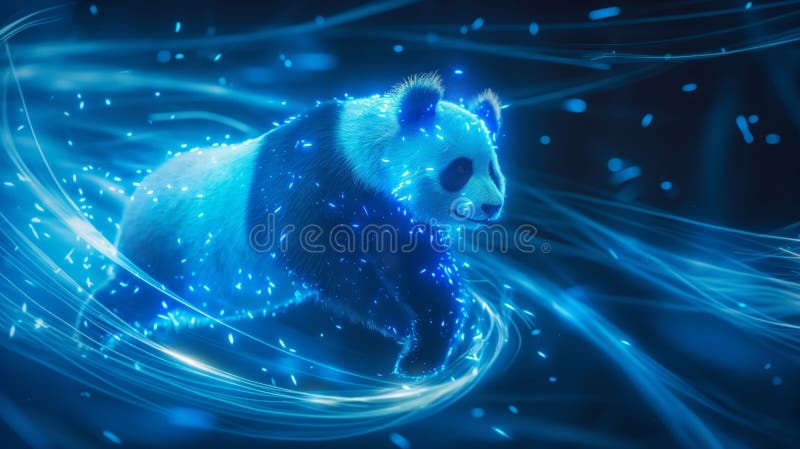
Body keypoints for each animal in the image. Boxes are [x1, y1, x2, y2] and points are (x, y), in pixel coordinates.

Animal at [96, 73, 506, 377]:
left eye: (493, 170)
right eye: (460, 169)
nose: (492, 206)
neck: (361, 152)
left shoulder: (393, 211)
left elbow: (423, 273)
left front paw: (421, 355)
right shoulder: (309, 176)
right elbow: (317, 257)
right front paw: (398, 321)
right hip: (163, 244)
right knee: (130, 294)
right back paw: (92, 331)